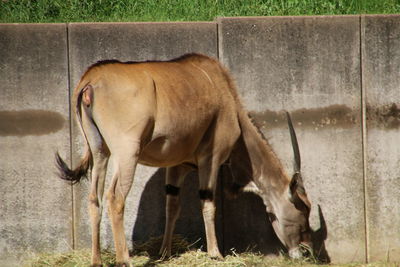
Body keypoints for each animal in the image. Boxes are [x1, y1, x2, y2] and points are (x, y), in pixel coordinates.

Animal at [56, 53, 312, 266]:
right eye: (303, 211)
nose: (306, 252)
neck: (225, 94)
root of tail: (91, 80)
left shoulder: (177, 165)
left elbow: (172, 205)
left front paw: (165, 252)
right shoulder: (212, 157)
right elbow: (208, 203)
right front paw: (215, 253)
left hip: (100, 152)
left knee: (94, 199)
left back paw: (96, 261)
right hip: (126, 154)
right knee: (115, 198)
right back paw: (124, 260)